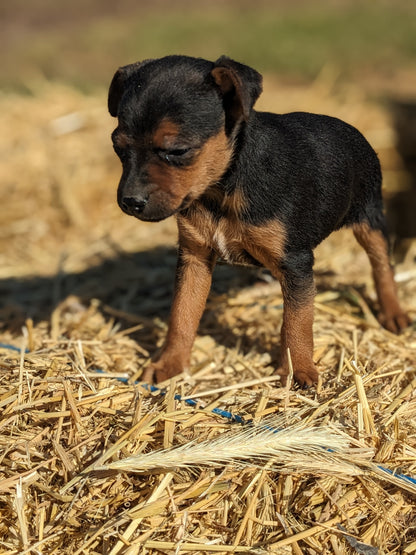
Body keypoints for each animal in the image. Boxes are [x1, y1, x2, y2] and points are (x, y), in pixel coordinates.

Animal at [108, 55, 410, 386]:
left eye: (178, 150)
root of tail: (353, 130)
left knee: (382, 265)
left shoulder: (295, 263)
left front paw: (298, 371)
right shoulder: (194, 256)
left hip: (370, 217)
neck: (222, 188)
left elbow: (297, 321)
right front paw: (170, 365)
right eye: (117, 147)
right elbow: (182, 314)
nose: (130, 202)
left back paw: (393, 313)